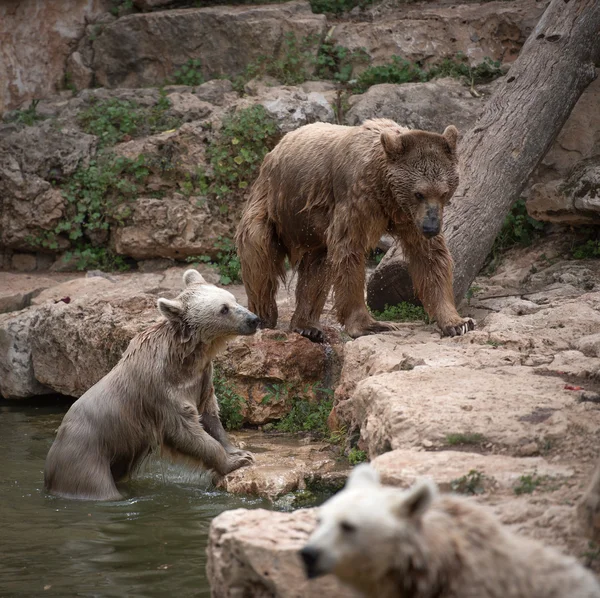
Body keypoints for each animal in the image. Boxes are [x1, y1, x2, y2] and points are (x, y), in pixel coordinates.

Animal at [42, 270, 258, 502]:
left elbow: (209, 414)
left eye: (234, 299)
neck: (184, 360)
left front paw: (239, 451)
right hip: (85, 459)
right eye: (223, 309)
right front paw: (235, 461)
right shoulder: (161, 390)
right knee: (98, 487)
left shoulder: (202, 377)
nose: (254, 319)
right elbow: (185, 431)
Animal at [234, 118, 474, 342]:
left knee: (316, 270)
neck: (386, 193)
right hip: (272, 208)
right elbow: (349, 253)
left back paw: (307, 325)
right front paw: (370, 324)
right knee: (260, 259)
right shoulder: (357, 200)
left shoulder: (410, 218)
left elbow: (430, 258)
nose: (431, 227)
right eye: (419, 193)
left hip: (314, 230)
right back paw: (264, 317)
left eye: (443, 192)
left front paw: (457, 322)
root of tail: (275, 148)